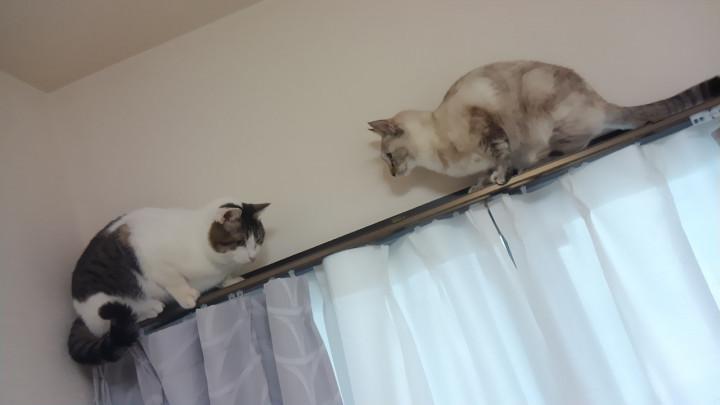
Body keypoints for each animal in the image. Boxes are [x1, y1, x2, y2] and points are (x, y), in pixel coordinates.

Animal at [67, 198, 269, 365]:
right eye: (241, 242)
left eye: (258, 239)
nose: (253, 257)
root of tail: (78, 307)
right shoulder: (155, 262)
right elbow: (173, 279)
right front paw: (187, 296)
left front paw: (230, 280)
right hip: (103, 299)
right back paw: (150, 307)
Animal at [368, 60, 719, 190]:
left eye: (388, 157)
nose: (392, 175)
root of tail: (601, 99)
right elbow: (485, 170)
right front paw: (479, 184)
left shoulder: (488, 130)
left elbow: (500, 158)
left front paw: (498, 178)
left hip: (542, 104)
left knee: (574, 145)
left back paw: (534, 163)